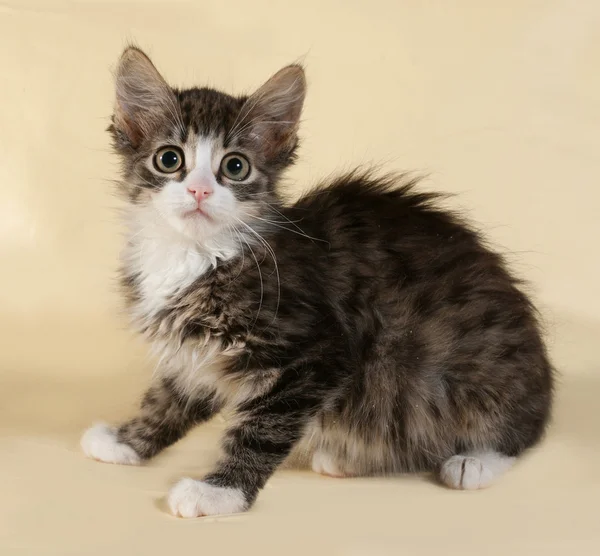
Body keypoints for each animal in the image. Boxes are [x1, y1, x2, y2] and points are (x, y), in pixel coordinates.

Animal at [79, 46, 552, 516]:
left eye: (235, 167)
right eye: (169, 159)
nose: (200, 192)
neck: (197, 255)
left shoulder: (315, 354)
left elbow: (262, 429)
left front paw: (219, 492)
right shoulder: (194, 354)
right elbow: (167, 400)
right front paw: (126, 441)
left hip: (460, 385)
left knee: (521, 434)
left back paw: (472, 462)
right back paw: (346, 459)